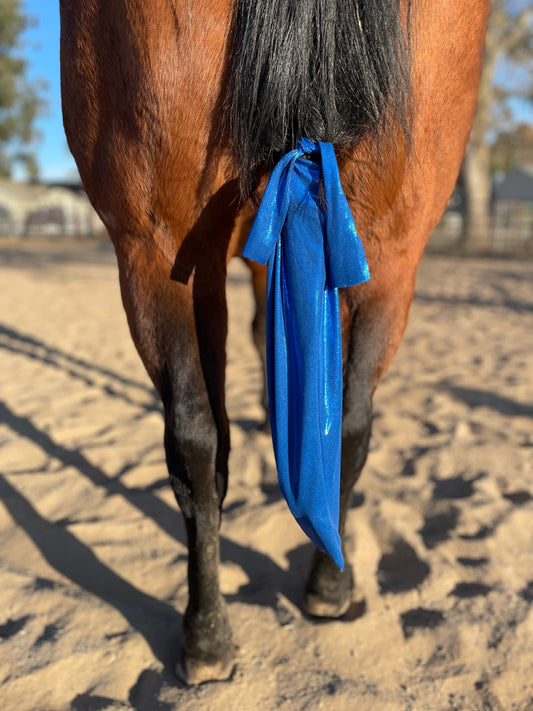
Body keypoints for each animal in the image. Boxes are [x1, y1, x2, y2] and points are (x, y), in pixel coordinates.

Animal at [60, 0, 488, 688]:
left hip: (161, 252)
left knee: (213, 436)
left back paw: (217, 631)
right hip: (384, 250)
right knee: (329, 424)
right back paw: (308, 593)